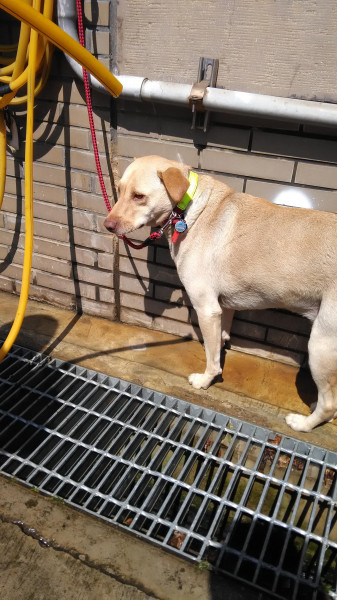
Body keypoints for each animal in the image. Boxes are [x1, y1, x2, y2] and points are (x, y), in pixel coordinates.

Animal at [103, 157, 336, 434]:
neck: (188, 209)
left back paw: (303, 424)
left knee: (329, 404)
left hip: (321, 343)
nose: (107, 225)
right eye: (119, 190)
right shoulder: (225, 306)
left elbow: (212, 357)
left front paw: (205, 381)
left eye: (138, 196)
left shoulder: (207, 309)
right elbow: (220, 341)